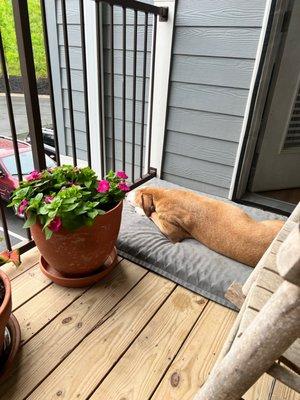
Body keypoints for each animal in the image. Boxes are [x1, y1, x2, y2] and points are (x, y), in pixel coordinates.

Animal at [127, 188, 284, 268]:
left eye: (136, 193)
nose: (127, 193)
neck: (161, 194)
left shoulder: (172, 231)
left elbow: (152, 214)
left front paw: (141, 211)